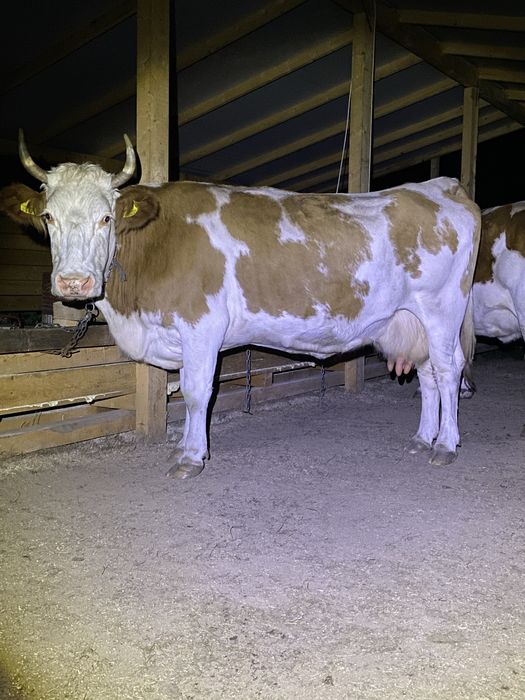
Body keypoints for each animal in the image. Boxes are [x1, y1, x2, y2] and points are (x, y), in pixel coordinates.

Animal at [0, 132, 481, 477]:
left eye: (106, 218)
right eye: (48, 217)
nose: (73, 281)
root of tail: (438, 187)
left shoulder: (202, 326)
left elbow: (197, 392)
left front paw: (191, 457)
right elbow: (184, 392)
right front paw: (184, 446)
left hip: (441, 310)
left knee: (448, 369)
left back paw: (445, 445)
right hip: (413, 320)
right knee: (428, 376)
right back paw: (422, 437)